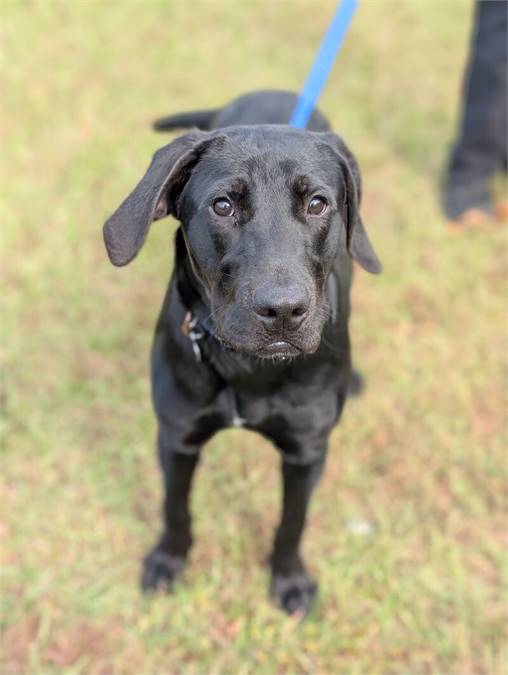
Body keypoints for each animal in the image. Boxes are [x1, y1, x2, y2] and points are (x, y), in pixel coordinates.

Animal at [103, 90, 380, 616]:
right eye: (223, 205)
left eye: (317, 203)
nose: (283, 310)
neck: (248, 368)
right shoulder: (178, 437)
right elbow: (176, 508)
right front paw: (168, 561)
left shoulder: (305, 452)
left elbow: (292, 523)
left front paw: (290, 580)